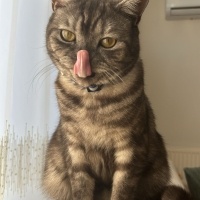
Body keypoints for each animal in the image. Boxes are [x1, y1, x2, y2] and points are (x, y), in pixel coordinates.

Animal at [42, 0, 192, 200]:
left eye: (108, 42)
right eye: (67, 35)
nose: (81, 62)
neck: (92, 101)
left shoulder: (130, 149)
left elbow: (122, 190)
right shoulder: (75, 150)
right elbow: (81, 189)